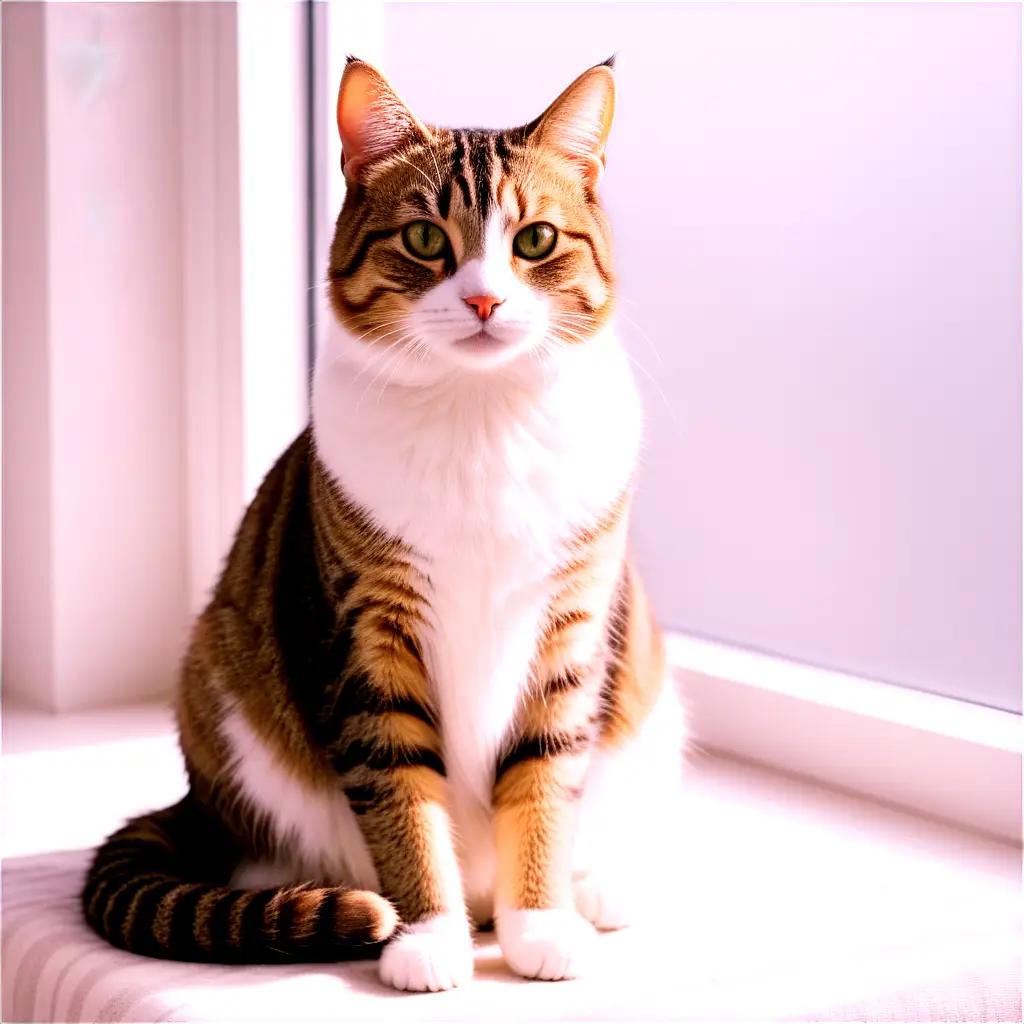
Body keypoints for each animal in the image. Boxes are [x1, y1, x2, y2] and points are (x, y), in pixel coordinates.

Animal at [81, 54, 688, 991]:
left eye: (535, 241)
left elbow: (545, 780)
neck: (480, 417)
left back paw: (592, 888)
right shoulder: (370, 634)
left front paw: (542, 922)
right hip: (220, 681)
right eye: (427, 240)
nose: (482, 302)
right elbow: (403, 793)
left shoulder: (570, 629)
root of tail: (195, 803)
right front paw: (431, 936)